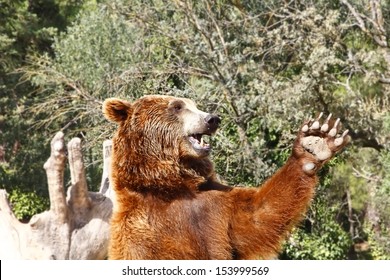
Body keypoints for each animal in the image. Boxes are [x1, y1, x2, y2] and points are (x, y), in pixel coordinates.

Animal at [102, 94, 348, 260]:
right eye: (177, 106)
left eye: (194, 104)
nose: (212, 119)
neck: (171, 186)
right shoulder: (142, 231)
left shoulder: (215, 207)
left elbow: (258, 216)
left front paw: (314, 141)